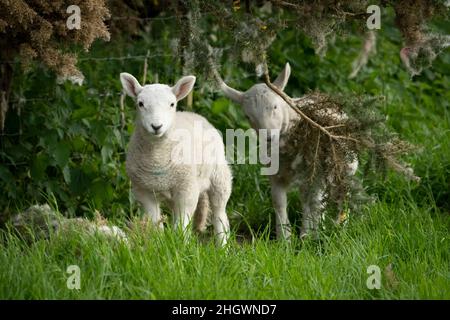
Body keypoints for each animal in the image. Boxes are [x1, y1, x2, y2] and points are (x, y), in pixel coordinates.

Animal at [119, 72, 232, 245]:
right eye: (140, 104)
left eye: (172, 104)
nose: (156, 126)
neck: (157, 157)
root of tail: (194, 114)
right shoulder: (144, 191)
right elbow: (155, 222)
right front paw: (159, 243)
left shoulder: (187, 189)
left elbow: (182, 225)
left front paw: (182, 245)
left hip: (219, 177)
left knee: (219, 214)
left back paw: (223, 246)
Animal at [219, 62, 358, 239]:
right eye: (247, 116)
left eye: (275, 106)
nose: (268, 136)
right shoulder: (275, 174)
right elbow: (279, 202)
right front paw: (284, 237)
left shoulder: (312, 172)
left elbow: (312, 201)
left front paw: (308, 235)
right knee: (314, 198)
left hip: (343, 167)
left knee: (338, 195)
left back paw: (339, 227)